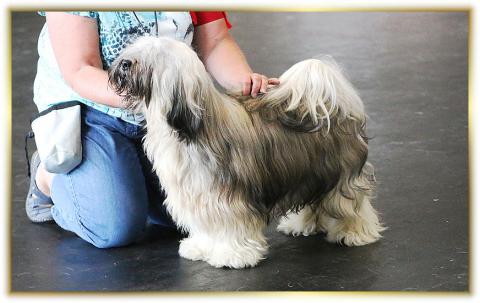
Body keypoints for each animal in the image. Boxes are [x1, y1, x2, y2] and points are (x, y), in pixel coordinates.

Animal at [108, 36, 386, 270]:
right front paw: (199, 247)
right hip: (308, 173)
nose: (124, 63)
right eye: (136, 47)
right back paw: (300, 224)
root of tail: (331, 107)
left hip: (342, 177)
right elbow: (204, 226)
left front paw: (233, 255)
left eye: (154, 55)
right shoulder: (196, 194)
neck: (192, 127)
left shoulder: (226, 198)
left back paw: (355, 232)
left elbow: (231, 226)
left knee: (353, 205)